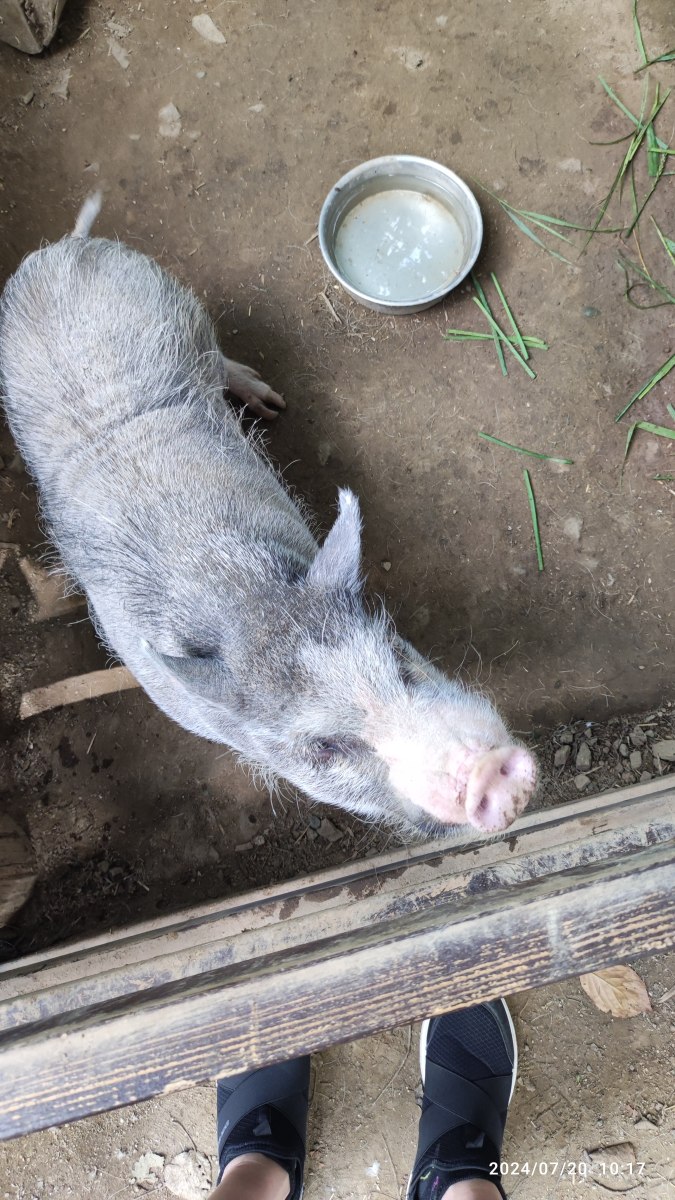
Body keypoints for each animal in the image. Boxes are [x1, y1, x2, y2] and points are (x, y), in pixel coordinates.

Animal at [0, 194, 537, 837]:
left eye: (401, 664)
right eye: (324, 748)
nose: (491, 771)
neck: (243, 598)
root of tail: (67, 249)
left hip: (181, 305)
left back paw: (270, 401)